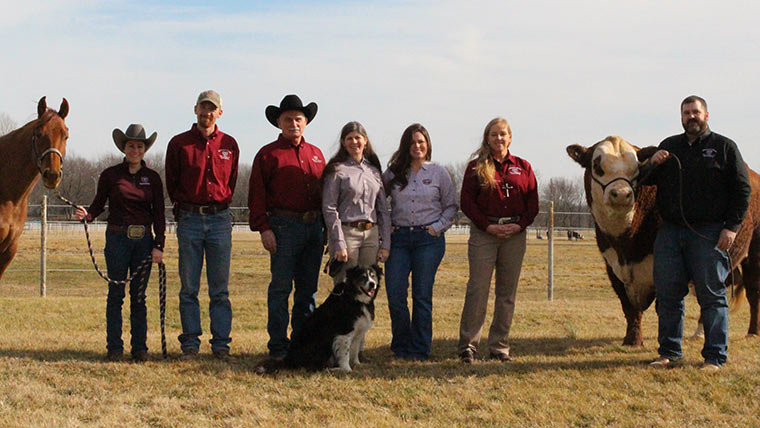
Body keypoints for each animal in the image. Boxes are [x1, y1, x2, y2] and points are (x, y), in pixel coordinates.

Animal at [564, 135, 760, 346]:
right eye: (597, 165)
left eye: (637, 168)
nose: (622, 194)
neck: (627, 242)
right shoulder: (613, 266)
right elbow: (629, 307)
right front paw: (632, 340)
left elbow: (663, 305)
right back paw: (700, 332)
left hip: (754, 252)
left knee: (752, 291)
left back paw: (752, 332)